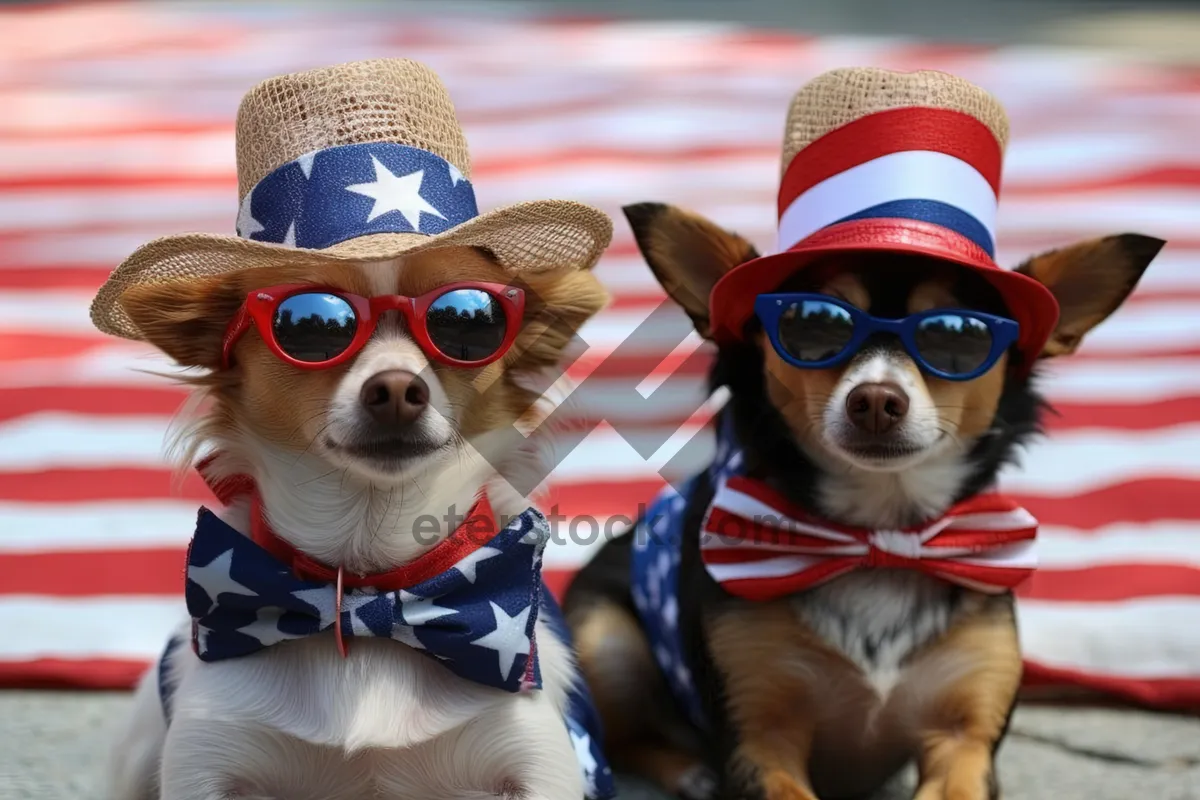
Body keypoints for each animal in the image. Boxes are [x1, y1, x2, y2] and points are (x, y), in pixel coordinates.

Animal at [561, 68, 1161, 800]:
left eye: (957, 336)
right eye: (813, 324)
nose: (876, 398)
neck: (879, 536)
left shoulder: (964, 742)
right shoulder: (761, 742)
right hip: (602, 636)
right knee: (621, 734)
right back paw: (691, 771)